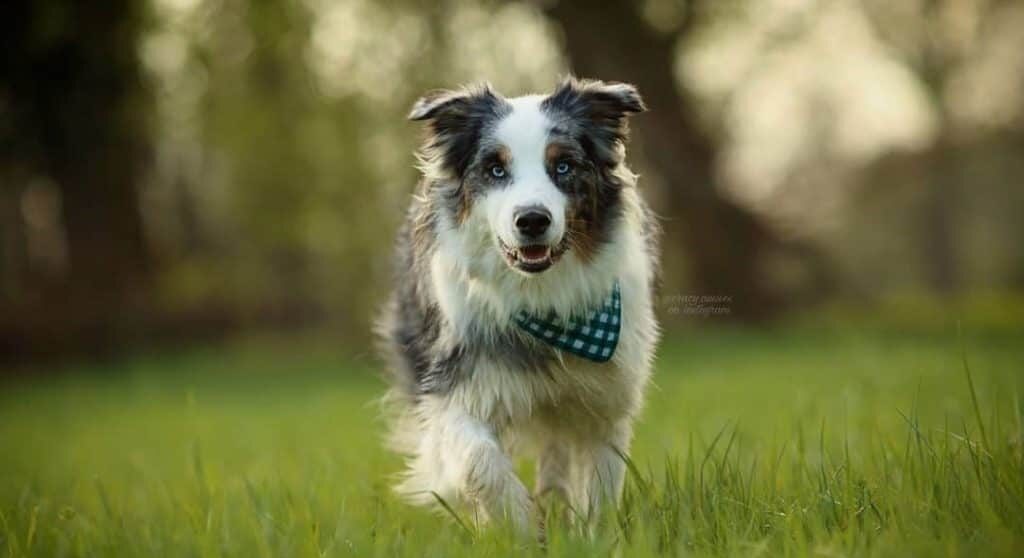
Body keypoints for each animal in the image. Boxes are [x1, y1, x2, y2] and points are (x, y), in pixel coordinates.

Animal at [380, 76, 659, 528]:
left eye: (563, 166)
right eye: (496, 169)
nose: (531, 220)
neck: (542, 298)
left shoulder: (607, 398)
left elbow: (600, 481)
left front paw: (589, 533)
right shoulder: (454, 385)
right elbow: (478, 460)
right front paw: (520, 524)